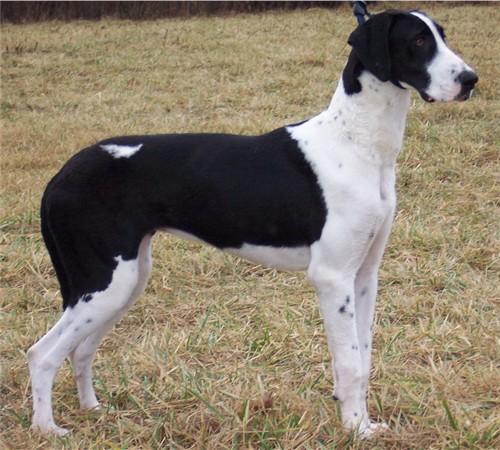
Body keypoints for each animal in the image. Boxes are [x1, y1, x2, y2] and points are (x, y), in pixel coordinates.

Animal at [28, 9, 477, 437]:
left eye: (442, 35)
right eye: (417, 41)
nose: (471, 80)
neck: (357, 141)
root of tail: (60, 176)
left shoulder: (365, 275)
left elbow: (361, 358)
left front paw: (363, 423)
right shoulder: (332, 277)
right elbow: (349, 364)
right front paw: (355, 430)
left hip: (126, 281)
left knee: (80, 349)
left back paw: (92, 409)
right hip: (106, 282)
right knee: (42, 354)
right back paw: (47, 429)